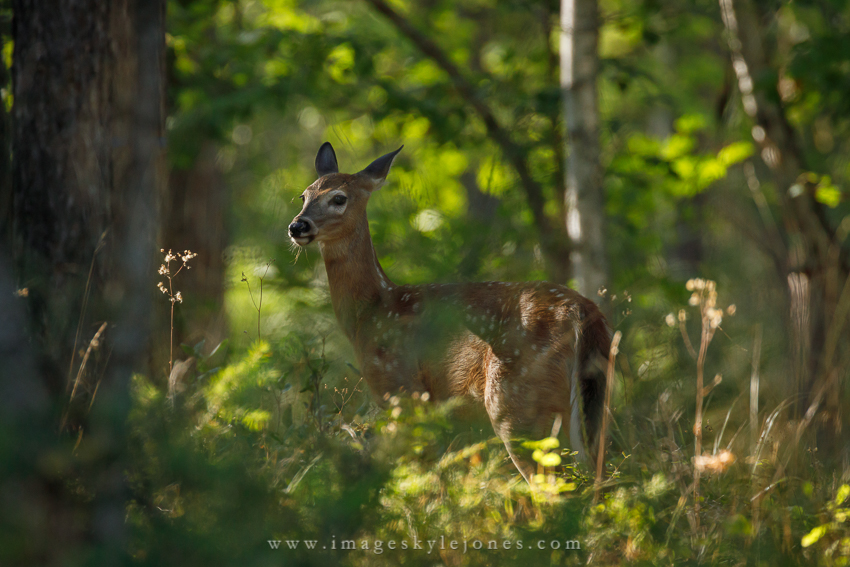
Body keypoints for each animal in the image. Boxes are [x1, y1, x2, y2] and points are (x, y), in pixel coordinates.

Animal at [288, 142, 611, 482]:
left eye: (339, 198)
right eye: (304, 195)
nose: (297, 226)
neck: (372, 310)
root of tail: (581, 311)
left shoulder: (402, 387)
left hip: (516, 403)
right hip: (591, 402)